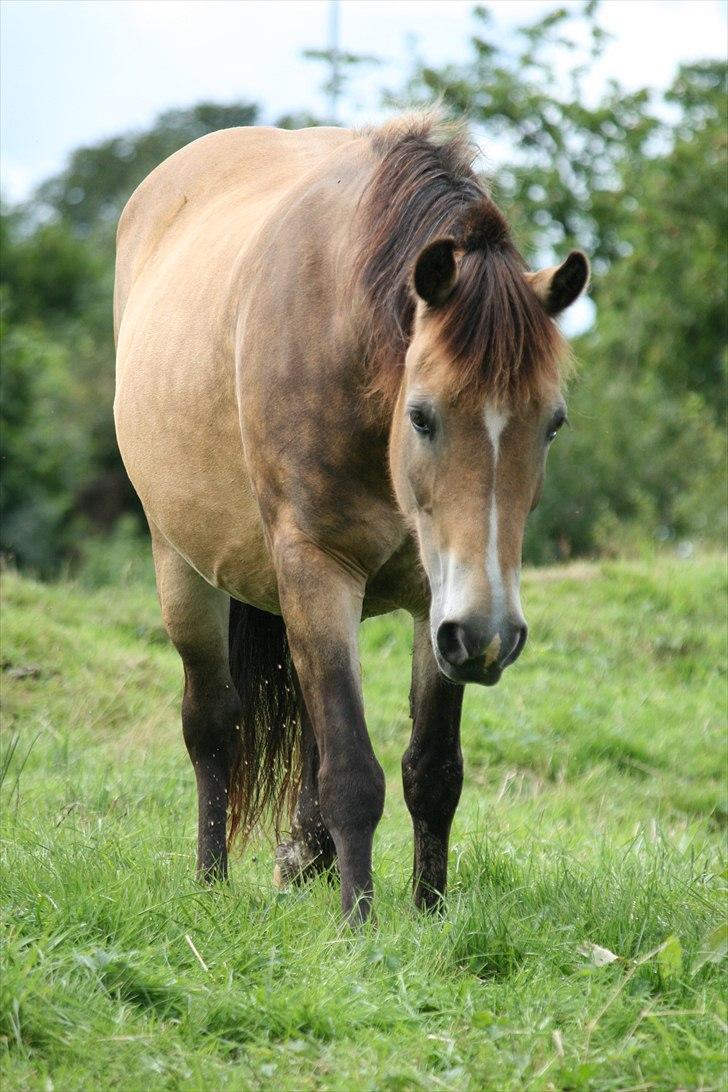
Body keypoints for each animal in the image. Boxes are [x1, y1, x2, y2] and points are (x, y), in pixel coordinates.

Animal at [115, 113, 593, 921]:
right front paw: (359, 923)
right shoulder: (318, 565)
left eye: (552, 424)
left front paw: (428, 914)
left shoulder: (441, 601)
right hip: (182, 565)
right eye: (423, 416)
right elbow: (351, 772)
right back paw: (213, 883)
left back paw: (304, 856)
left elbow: (432, 770)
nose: (493, 634)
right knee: (212, 724)